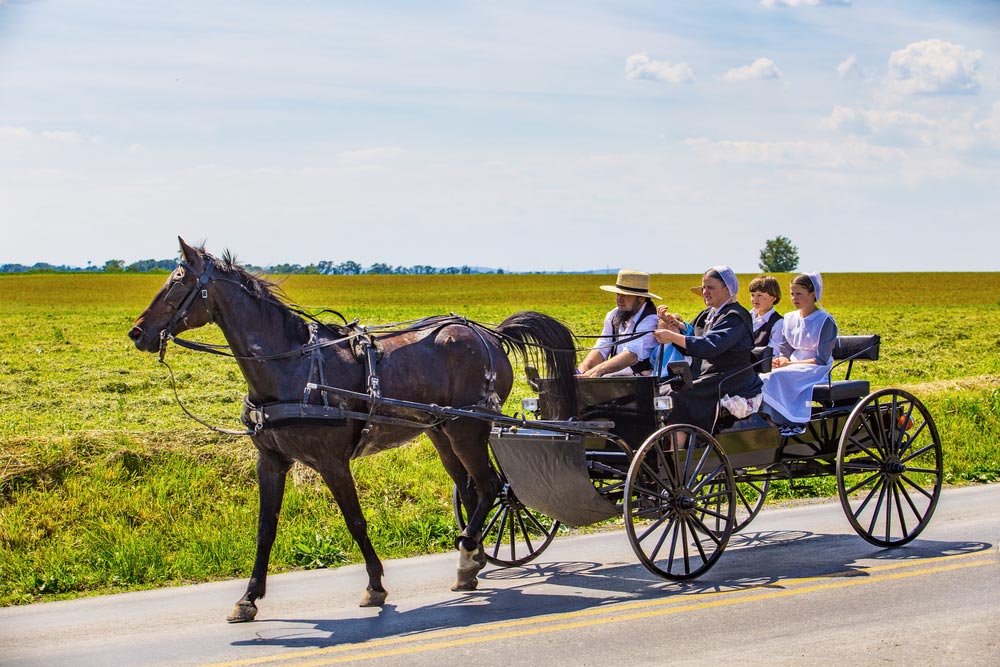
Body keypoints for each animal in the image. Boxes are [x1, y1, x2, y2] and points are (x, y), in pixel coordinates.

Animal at [129, 239, 576, 620]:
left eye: (178, 281)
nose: (137, 332)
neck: (291, 367)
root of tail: (488, 333)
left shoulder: (331, 461)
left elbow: (355, 521)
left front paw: (375, 585)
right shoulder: (270, 461)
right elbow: (265, 529)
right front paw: (248, 597)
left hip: (468, 427)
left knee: (491, 487)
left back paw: (469, 553)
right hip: (441, 430)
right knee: (470, 490)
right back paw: (472, 560)